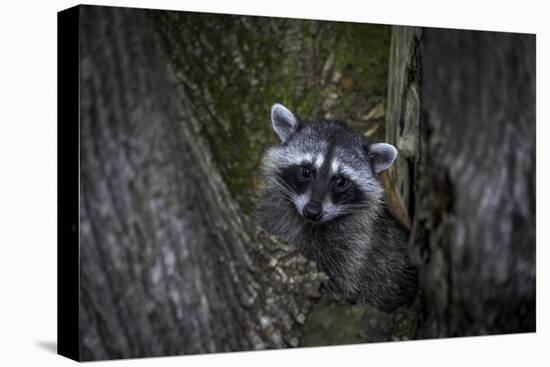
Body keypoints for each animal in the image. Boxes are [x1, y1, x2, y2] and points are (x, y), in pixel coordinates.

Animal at [258, 104, 418, 314]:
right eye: (306, 171)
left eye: (341, 181)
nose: (312, 211)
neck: (310, 224)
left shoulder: (355, 248)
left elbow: (341, 281)